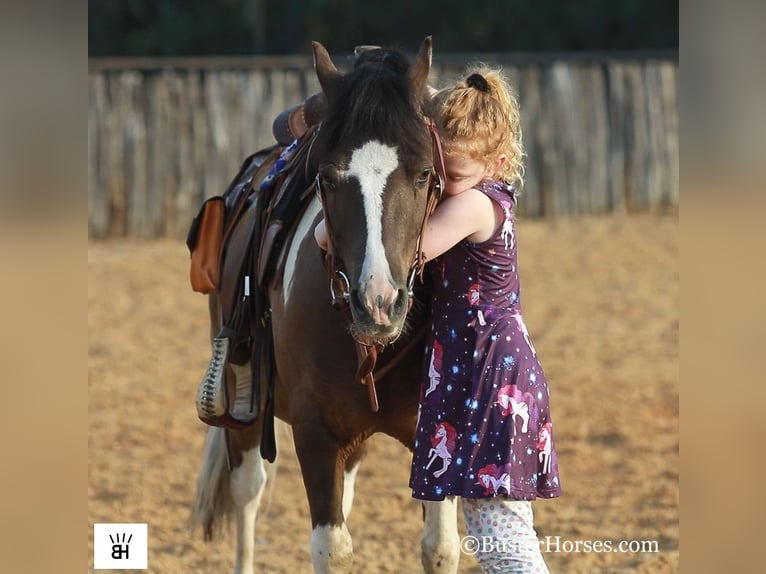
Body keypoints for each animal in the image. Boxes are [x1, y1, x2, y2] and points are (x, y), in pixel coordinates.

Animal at [192, 38, 462, 572]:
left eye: (424, 174)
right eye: (328, 177)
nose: (378, 303)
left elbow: (440, 548)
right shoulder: (316, 436)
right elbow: (331, 549)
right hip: (242, 400)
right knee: (247, 490)